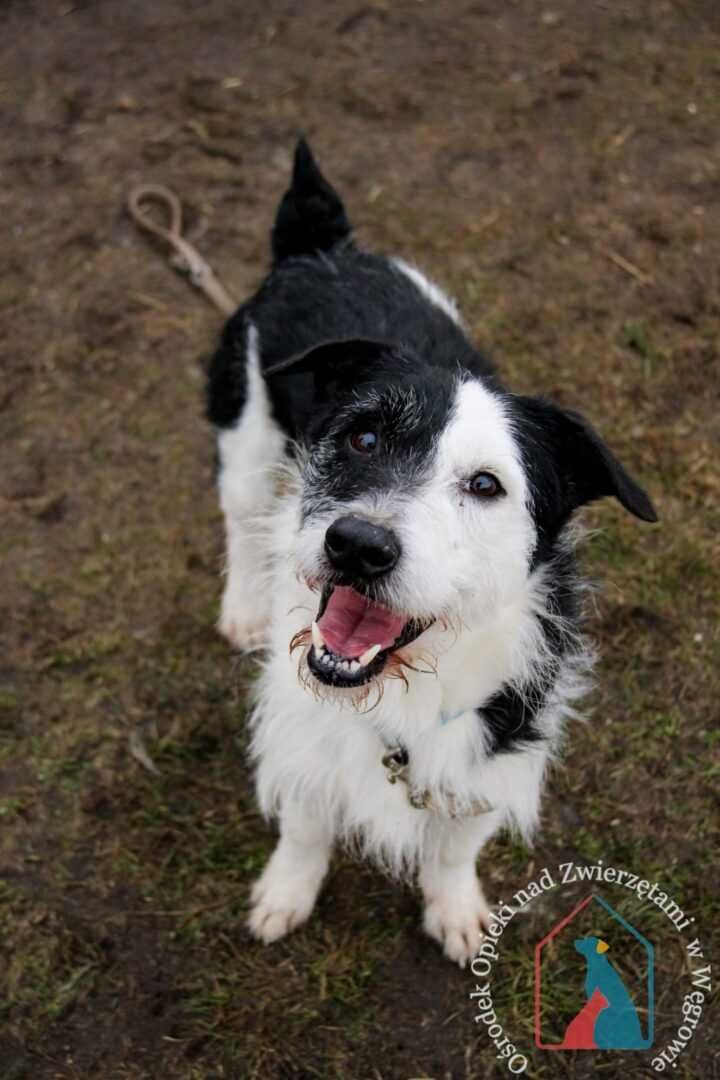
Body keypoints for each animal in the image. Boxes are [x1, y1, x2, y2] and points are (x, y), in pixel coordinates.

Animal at [204, 139, 660, 967]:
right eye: (362, 436)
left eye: (486, 484)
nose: (358, 546)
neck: (402, 691)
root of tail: (322, 249)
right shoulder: (303, 729)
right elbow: (306, 824)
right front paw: (286, 893)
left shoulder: (496, 745)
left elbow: (456, 845)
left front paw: (457, 911)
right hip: (245, 432)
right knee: (241, 519)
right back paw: (243, 605)